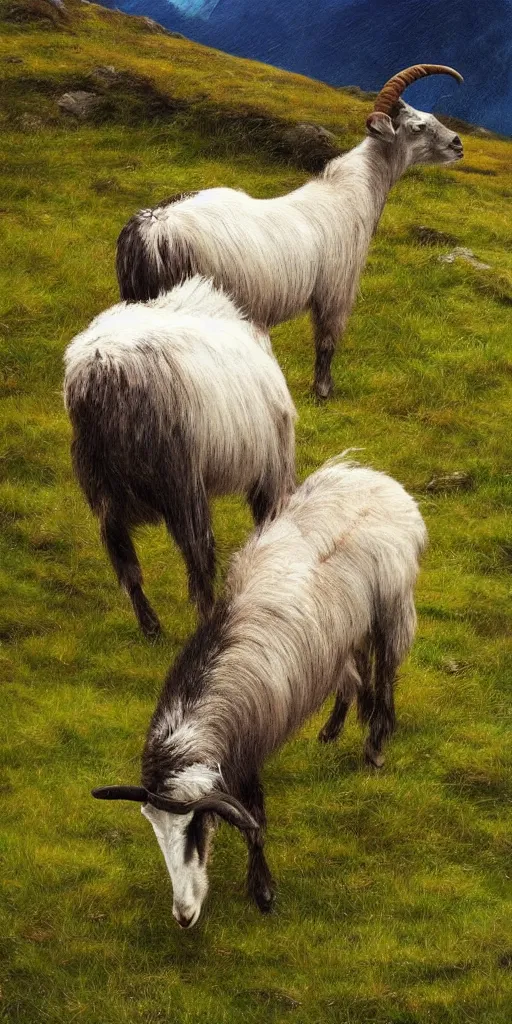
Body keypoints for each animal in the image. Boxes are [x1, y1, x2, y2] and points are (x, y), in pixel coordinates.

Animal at [62, 276, 296, 634]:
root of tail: (103, 373)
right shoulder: (270, 469)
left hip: (104, 489)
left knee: (125, 560)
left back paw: (151, 626)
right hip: (182, 482)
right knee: (198, 554)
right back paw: (206, 616)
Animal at [93, 456, 428, 929]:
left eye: (197, 828)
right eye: (155, 829)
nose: (183, 916)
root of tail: (372, 477)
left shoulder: (248, 753)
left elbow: (257, 823)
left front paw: (263, 891)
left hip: (391, 605)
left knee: (386, 674)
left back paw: (377, 742)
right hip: (348, 625)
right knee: (356, 672)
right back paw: (333, 728)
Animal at [117, 62, 464, 399]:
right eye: (418, 126)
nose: (458, 144)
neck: (352, 192)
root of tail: (153, 227)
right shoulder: (335, 292)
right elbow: (326, 342)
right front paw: (323, 391)